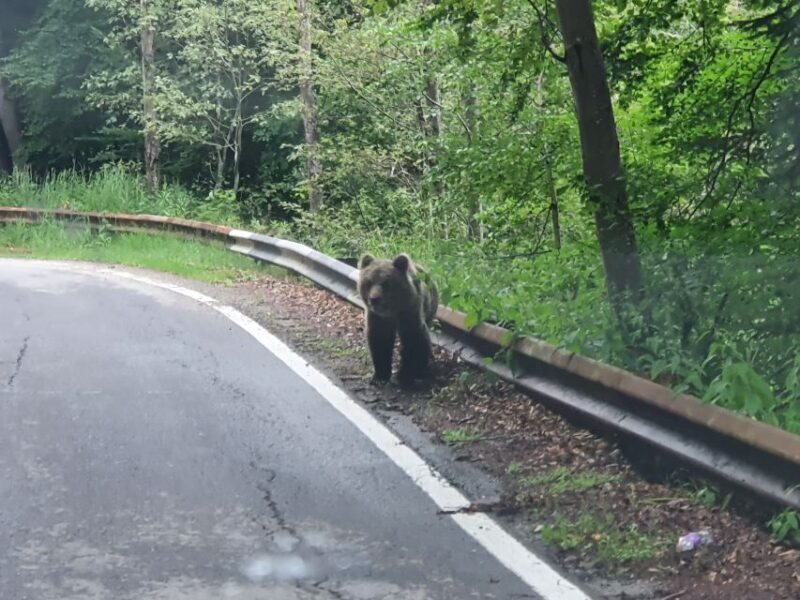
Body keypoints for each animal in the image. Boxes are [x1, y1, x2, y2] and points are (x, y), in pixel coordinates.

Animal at [357, 253, 439, 387]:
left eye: (386, 283)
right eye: (369, 282)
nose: (374, 299)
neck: (391, 312)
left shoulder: (409, 311)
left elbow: (415, 339)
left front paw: (406, 375)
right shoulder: (378, 318)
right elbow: (380, 341)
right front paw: (380, 376)